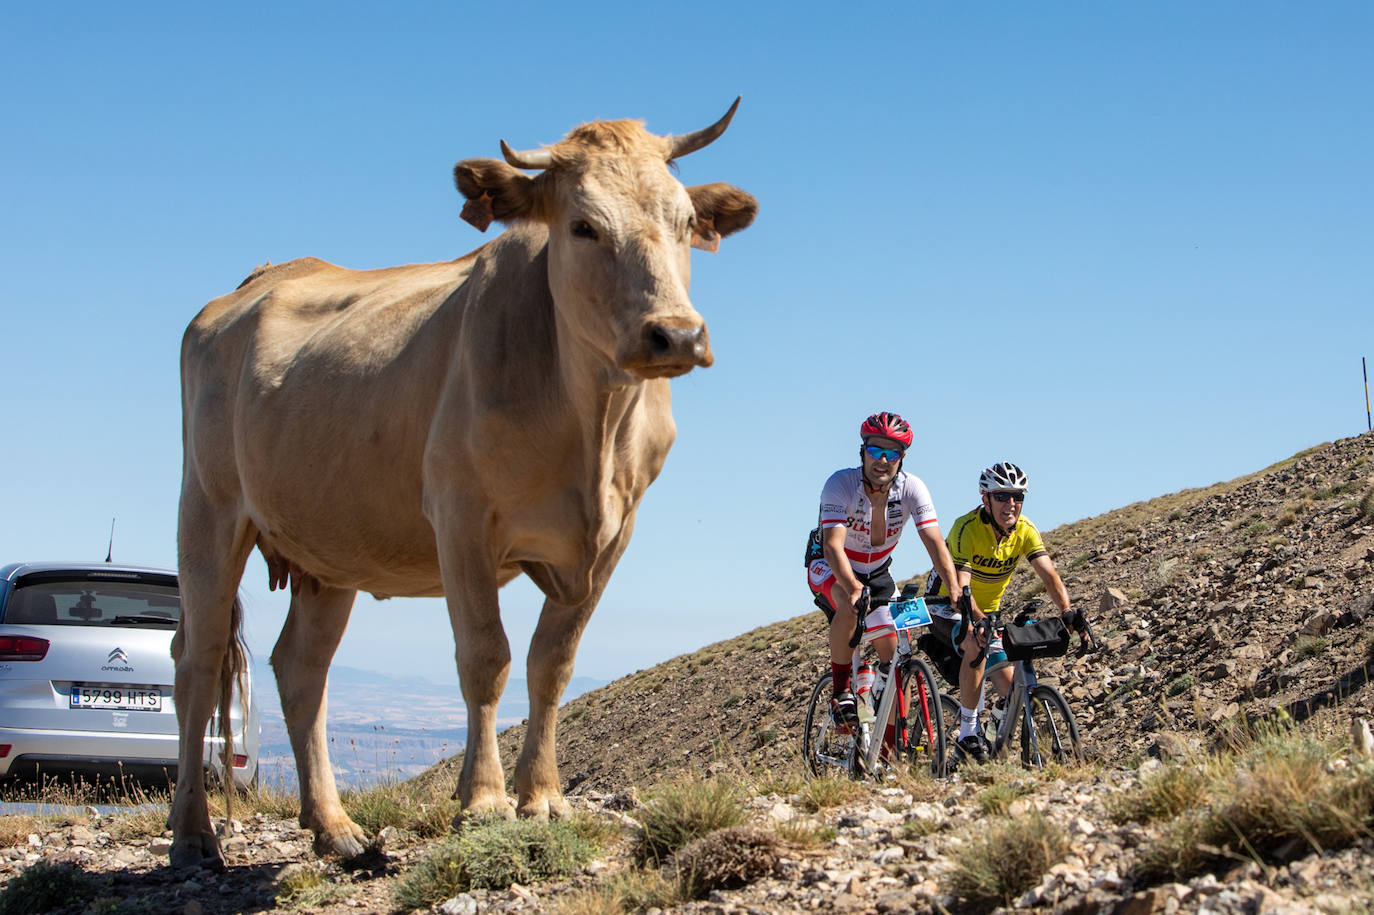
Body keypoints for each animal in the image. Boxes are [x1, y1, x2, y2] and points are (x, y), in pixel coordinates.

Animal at [169, 103, 763, 868]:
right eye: (583, 226)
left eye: (687, 221)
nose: (678, 335)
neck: (592, 426)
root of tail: (257, 281)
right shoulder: (461, 519)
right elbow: (487, 656)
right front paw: (482, 800)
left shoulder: (614, 533)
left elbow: (552, 663)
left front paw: (542, 795)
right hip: (208, 509)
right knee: (198, 659)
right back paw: (192, 833)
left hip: (328, 547)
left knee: (301, 669)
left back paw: (335, 828)